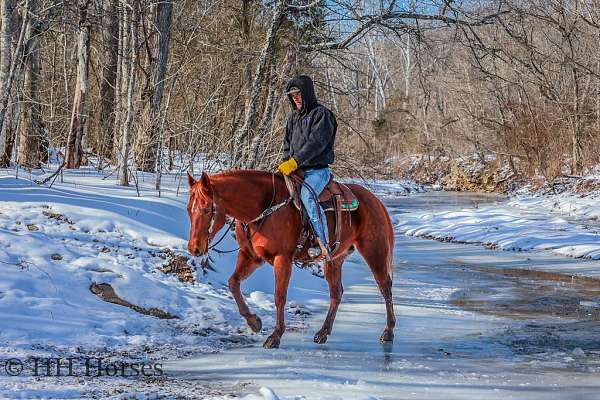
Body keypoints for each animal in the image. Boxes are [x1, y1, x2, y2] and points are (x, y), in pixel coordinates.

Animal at [186, 170, 394, 348]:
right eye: (189, 209)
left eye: (206, 210)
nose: (194, 248)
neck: (263, 206)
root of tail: (374, 200)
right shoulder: (250, 256)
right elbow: (233, 283)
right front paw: (254, 322)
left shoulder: (282, 259)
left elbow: (280, 296)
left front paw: (275, 336)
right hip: (335, 259)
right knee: (336, 293)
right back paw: (323, 333)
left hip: (374, 252)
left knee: (385, 288)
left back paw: (388, 332)